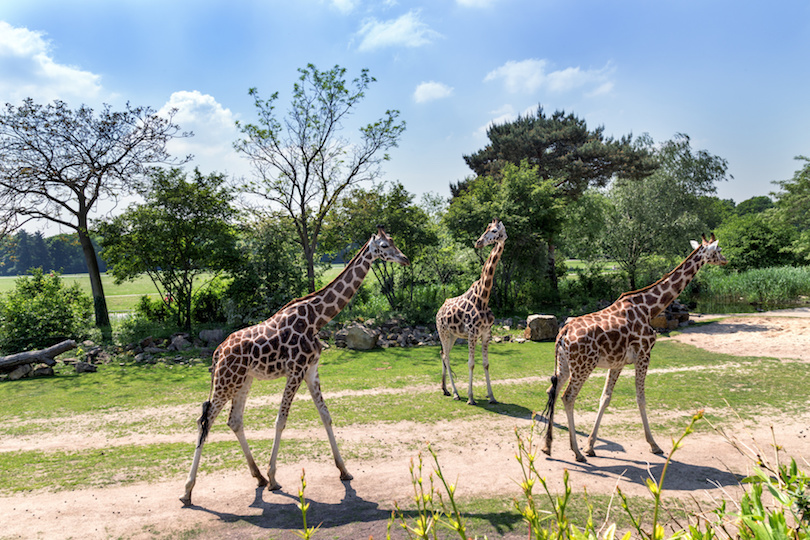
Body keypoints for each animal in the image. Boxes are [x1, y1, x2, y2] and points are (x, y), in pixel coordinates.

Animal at [180, 227, 408, 506]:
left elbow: (326, 416)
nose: (405, 259)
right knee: (205, 422)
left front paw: (344, 471)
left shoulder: (311, 371)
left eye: (394, 242)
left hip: (244, 381)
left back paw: (257, 477)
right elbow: (281, 420)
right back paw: (188, 491)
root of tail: (217, 352)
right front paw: (274, 478)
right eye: (385, 246)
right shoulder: (296, 370)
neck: (317, 318)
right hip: (225, 381)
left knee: (234, 421)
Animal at [436, 219, 504, 404]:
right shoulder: (473, 334)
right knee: (446, 356)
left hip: (453, 335)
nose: (478, 242)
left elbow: (486, 363)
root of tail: (439, 311)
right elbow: (471, 363)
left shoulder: (486, 334)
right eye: (486, 228)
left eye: (494, 230)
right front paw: (471, 398)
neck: (483, 298)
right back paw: (456, 393)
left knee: (443, 354)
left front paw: (492, 396)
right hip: (443, 332)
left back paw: (445, 389)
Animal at [544, 234, 724, 462]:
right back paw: (575, 452)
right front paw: (654, 445)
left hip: (565, 365)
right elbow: (641, 398)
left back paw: (547, 446)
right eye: (718, 250)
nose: (726, 260)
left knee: (553, 391)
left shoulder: (617, 363)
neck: (649, 307)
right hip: (583, 366)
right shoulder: (644, 355)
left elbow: (605, 398)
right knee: (568, 397)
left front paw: (591, 446)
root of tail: (563, 333)